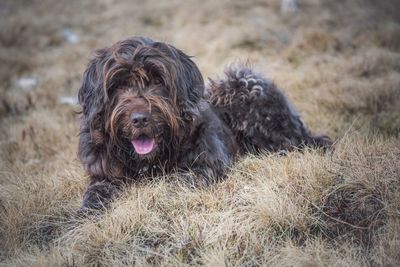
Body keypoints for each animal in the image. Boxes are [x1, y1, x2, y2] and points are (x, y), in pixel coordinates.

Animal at [78, 36, 332, 211]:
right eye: (118, 85)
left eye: (158, 80)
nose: (140, 119)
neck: (148, 161)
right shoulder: (104, 172)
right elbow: (96, 191)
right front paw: (87, 212)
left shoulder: (207, 163)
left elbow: (179, 181)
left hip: (242, 86)